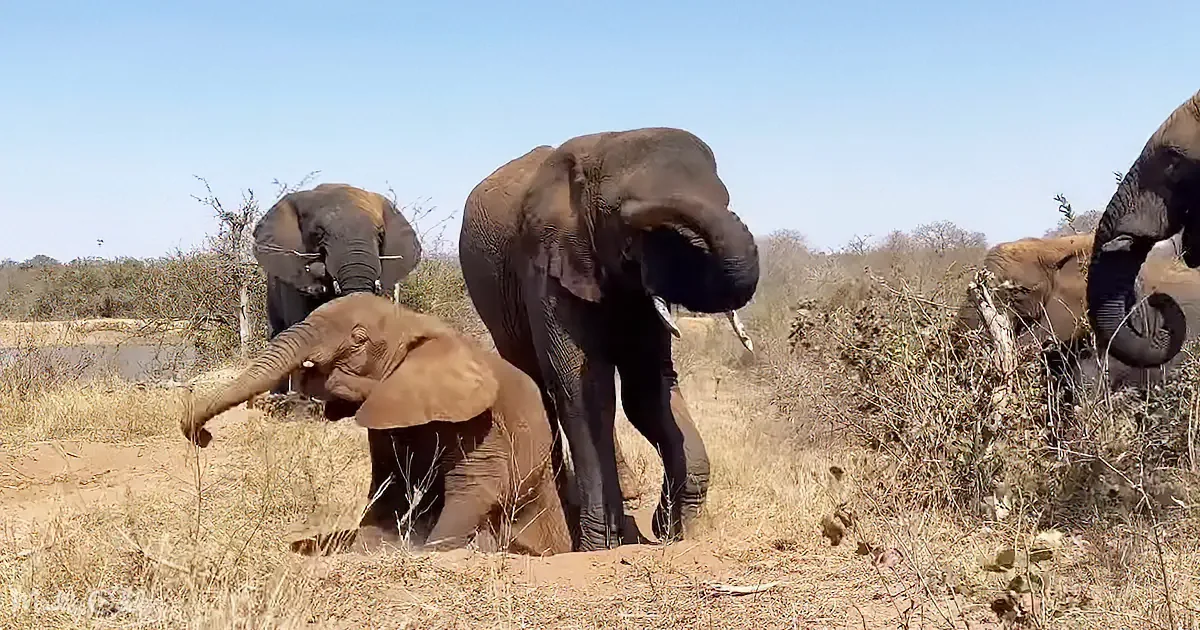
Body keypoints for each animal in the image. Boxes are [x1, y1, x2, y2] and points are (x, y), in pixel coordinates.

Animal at [179, 292, 572, 557]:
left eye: (359, 339)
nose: (202, 436)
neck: (413, 322)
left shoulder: (478, 416)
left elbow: (477, 484)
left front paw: (430, 551)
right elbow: (390, 482)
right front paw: (368, 547)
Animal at [459, 127, 760, 551]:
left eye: (726, 198)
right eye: (628, 223)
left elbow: (647, 389)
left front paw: (672, 529)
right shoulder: (547, 265)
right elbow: (584, 393)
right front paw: (599, 546)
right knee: (537, 387)